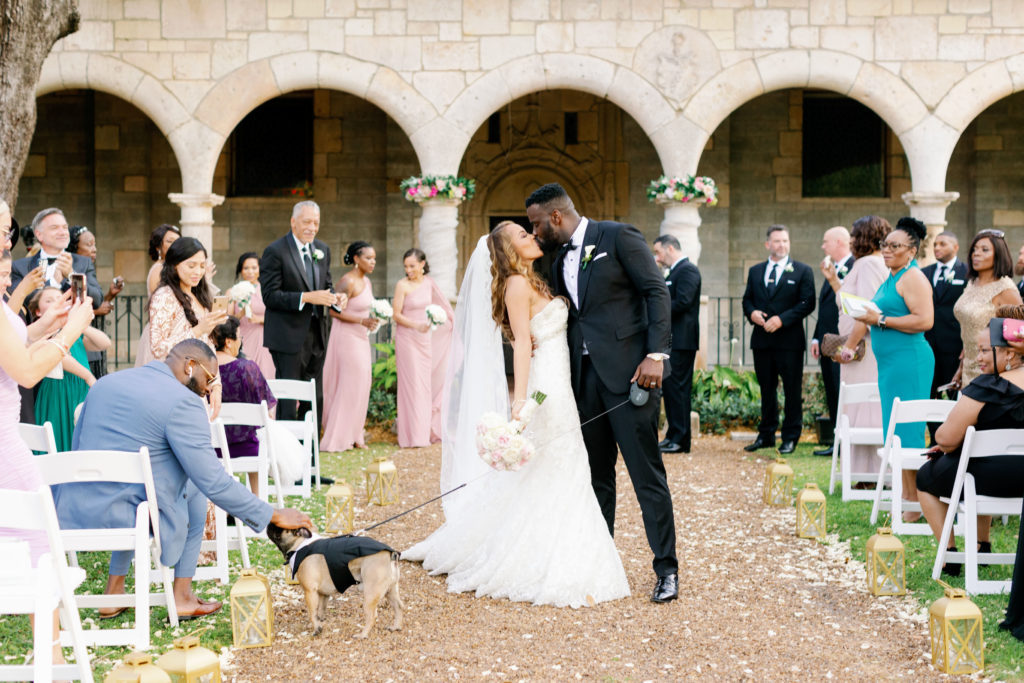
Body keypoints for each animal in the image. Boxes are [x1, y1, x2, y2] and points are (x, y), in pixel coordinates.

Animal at [268, 528, 403, 638]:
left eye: (280, 528)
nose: (270, 526)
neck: (301, 544)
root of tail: (391, 553)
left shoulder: (309, 592)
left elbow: (312, 613)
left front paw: (316, 629)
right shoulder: (323, 594)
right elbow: (320, 610)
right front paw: (320, 622)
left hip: (371, 593)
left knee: (372, 616)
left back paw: (362, 634)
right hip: (391, 590)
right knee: (398, 607)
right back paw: (395, 627)